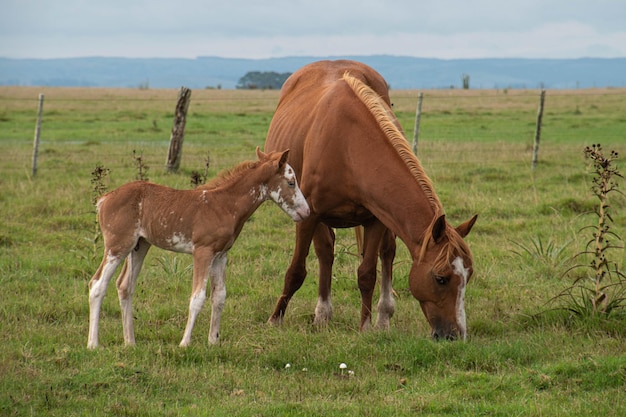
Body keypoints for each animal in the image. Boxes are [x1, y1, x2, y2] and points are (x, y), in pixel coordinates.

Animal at [86, 148, 310, 350]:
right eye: (291, 182)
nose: (306, 211)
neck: (225, 205)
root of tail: (104, 199)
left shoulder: (221, 255)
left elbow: (219, 296)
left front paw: (213, 342)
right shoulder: (203, 252)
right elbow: (198, 297)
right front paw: (185, 343)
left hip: (139, 246)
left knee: (125, 286)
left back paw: (130, 343)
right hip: (118, 245)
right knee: (97, 284)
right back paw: (93, 344)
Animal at [260, 60, 476, 340]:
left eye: (468, 276)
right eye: (441, 278)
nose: (455, 335)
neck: (348, 146)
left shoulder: (376, 219)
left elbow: (367, 274)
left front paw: (366, 326)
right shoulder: (308, 216)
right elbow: (296, 270)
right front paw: (275, 319)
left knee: (386, 253)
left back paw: (382, 316)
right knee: (325, 252)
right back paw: (322, 314)